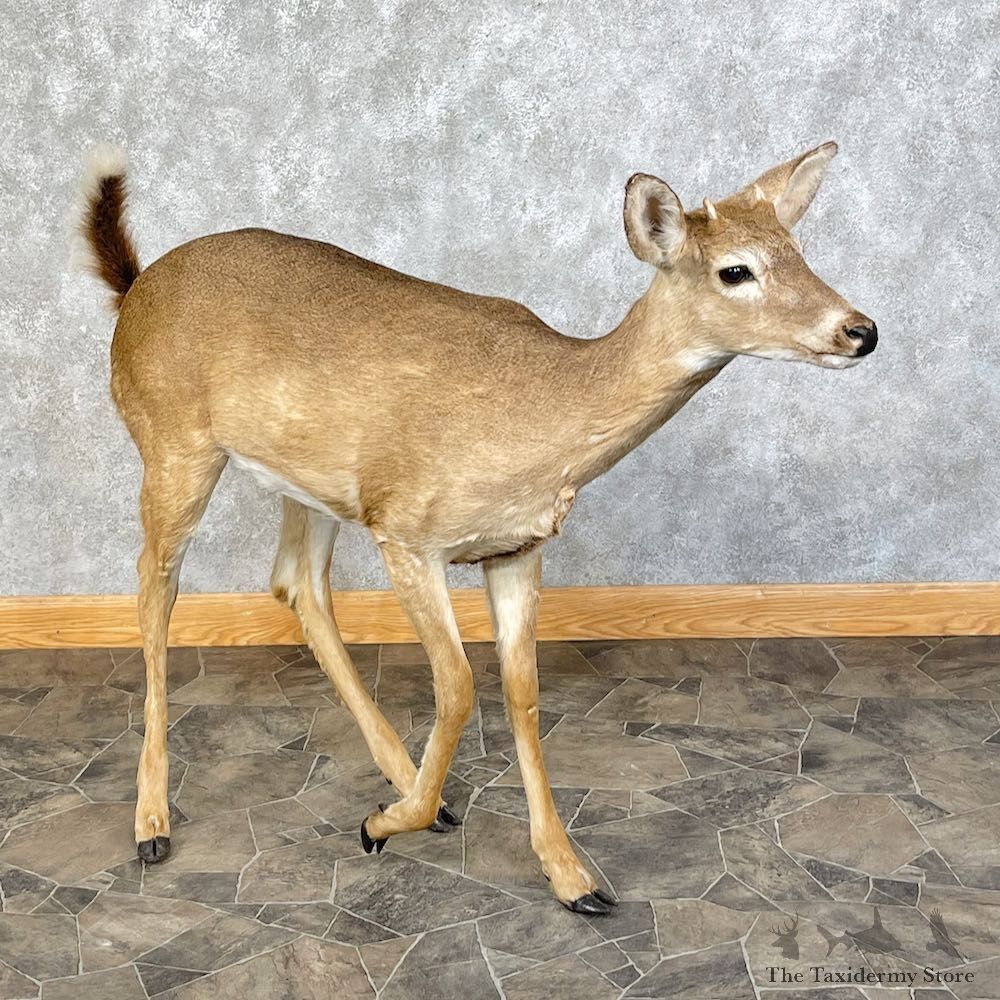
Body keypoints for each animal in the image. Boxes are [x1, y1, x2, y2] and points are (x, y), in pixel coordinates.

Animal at [76, 139, 876, 915]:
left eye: (799, 249)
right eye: (735, 270)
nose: (861, 330)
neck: (538, 418)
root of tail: (135, 289)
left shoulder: (517, 548)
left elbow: (521, 691)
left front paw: (573, 878)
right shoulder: (406, 530)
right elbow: (459, 684)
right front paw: (382, 825)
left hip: (310, 484)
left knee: (296, 583)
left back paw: (414, 788)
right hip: (172, 442)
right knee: (155, 585)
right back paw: (153, 824)